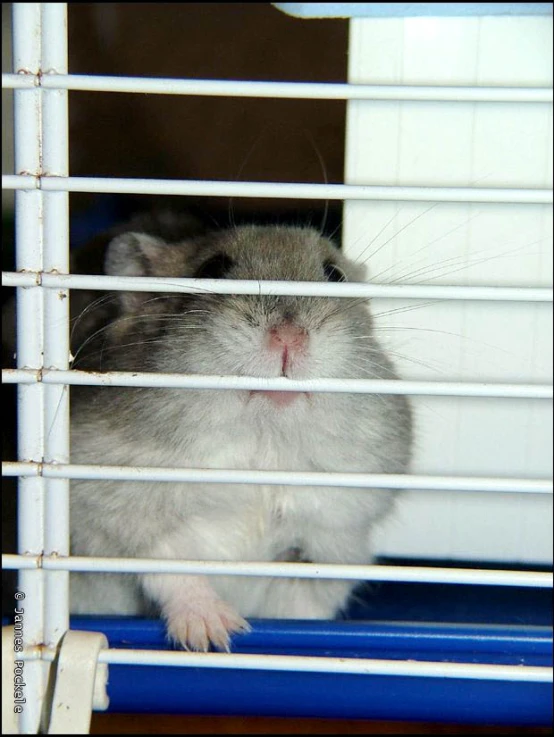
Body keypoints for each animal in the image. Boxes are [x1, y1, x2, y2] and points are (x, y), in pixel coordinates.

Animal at [69, 217, 412, 648]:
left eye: (335, 275)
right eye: (211, 269)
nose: (288, 336)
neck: (263, 443)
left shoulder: (334, 539)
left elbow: (309, 599)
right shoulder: (113, 510)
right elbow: (169, 566)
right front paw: (214, 635)